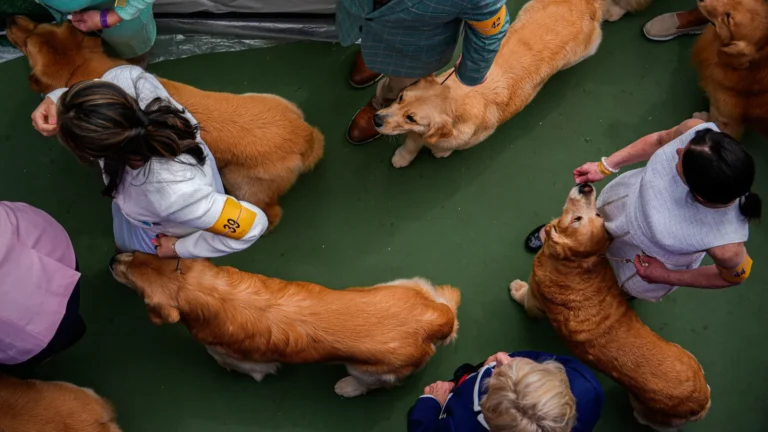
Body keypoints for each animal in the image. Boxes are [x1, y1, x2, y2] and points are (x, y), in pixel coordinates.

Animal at [6, 16, 324, 231]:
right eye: (39, 26)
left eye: (27, 43)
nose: (11, 19)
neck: (80, 66)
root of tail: (305, 136)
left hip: (242, 183)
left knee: (271, 214)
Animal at [109, 253, 462, 398]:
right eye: (136, 252)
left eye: (131, 278)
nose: (112, 260)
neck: (210, 290)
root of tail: (434, 318)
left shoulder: (242, 360)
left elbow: (231, 362)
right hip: (399, 285)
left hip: (368, 369)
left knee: (371, 384)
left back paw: (348, 387)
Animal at [376, 0, 604, 168]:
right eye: (401, 97)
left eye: (411, 118)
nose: (376, 119)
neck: (457, 100)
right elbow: (411, 143)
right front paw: (403, 156)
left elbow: (437, 145)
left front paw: (439, 152)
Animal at [508, 184, 712, 430]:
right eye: (591, 216)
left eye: (581, 218)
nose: (586, 187)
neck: (577, 264)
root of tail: (701, 402)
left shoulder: (535, 299)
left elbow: (525, 298)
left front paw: (516, 288)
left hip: (643, 407)